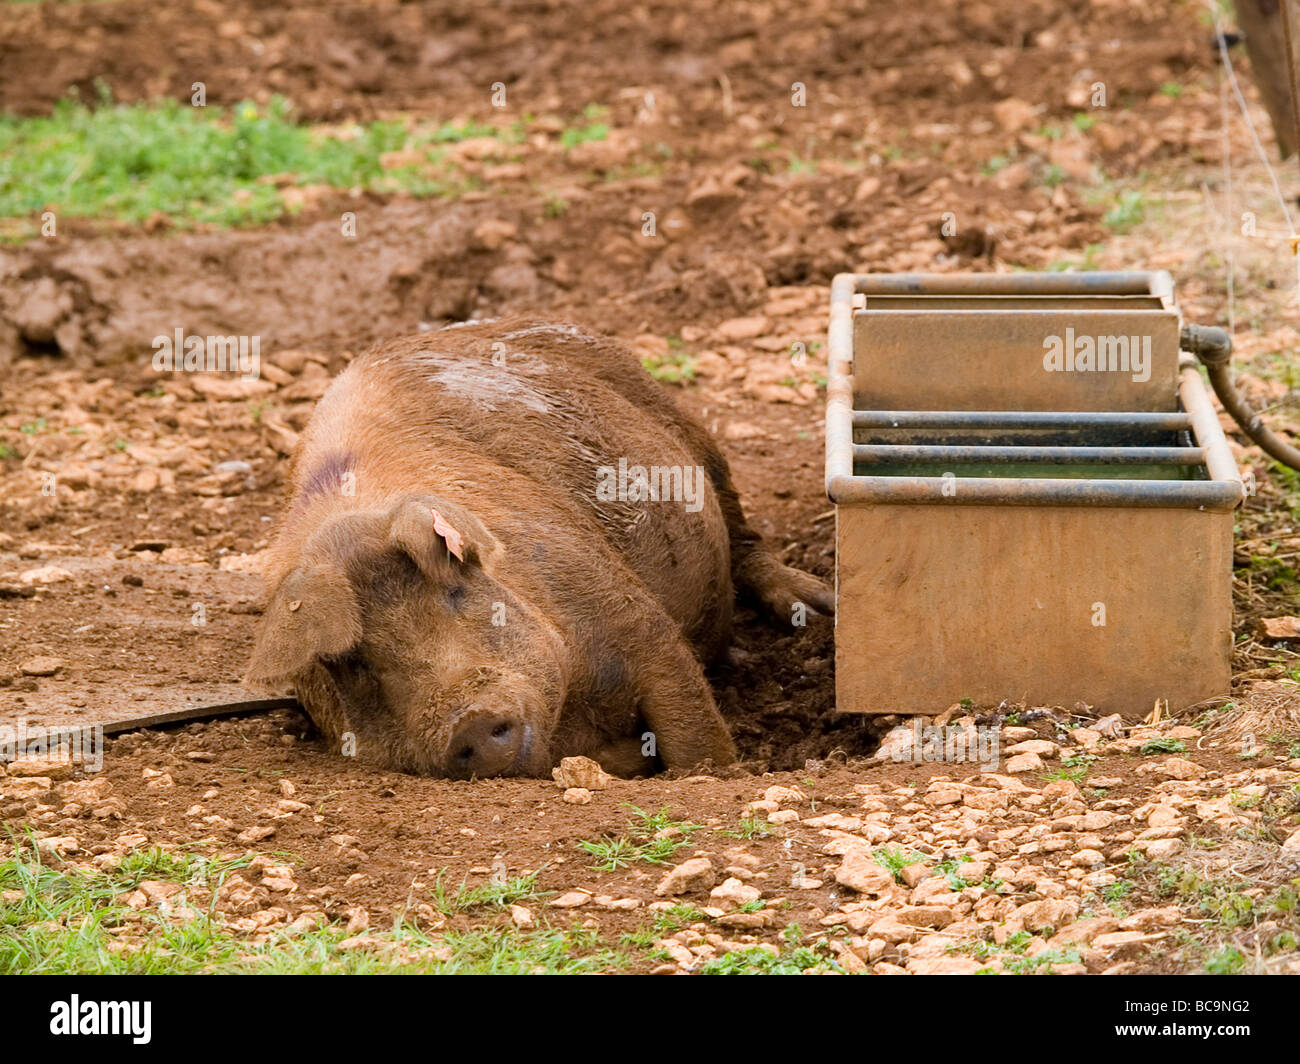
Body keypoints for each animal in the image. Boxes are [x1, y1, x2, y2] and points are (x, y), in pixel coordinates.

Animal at [244, 318, 832, 775]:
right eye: (353, 665)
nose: (469, 721)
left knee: (743, 536)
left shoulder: (635, 620)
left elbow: (692, 732)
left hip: (692, 434)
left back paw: (815, 607)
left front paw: (722, 773)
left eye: (455, 593)